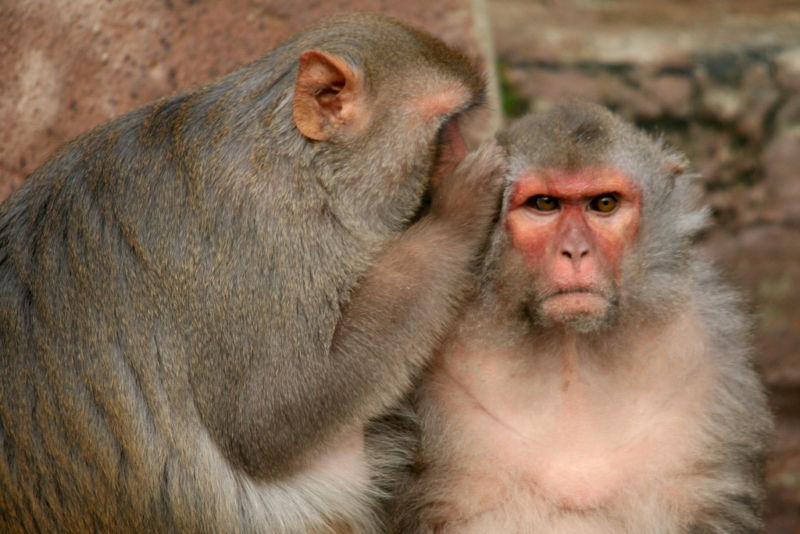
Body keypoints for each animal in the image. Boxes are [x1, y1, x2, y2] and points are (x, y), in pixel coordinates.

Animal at [0, 13, 506, 534]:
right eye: (447, 128)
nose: (468, 149)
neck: (305, 166)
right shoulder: (262, 236)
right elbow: (269, 419)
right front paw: (456, 217)